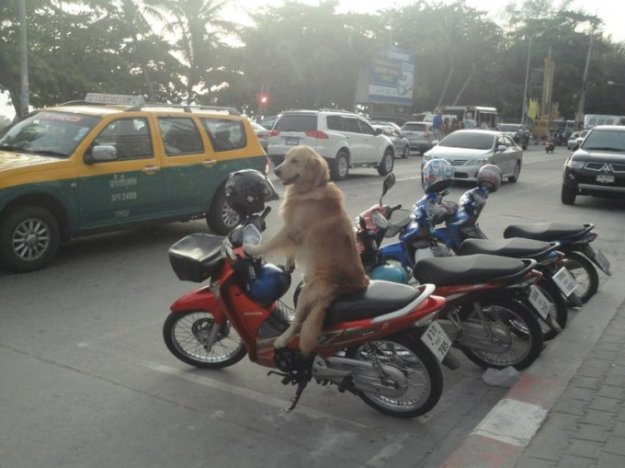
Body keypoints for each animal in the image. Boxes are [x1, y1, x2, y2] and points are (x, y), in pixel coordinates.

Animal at [246, 146, 368, 354]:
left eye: (295, 161)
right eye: (285, 158)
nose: (276, 170)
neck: (312, 188)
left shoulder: (290, 229)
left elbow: (270, 243)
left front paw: (252, 249)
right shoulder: (295, 234)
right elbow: (291, 249)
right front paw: (289, 263)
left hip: (307, 293)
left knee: (298, 323)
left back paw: (282, 339)